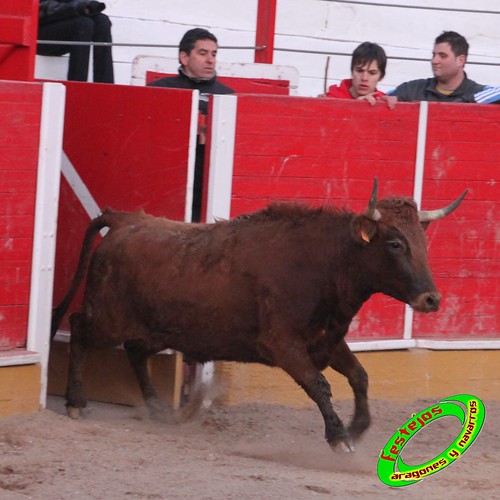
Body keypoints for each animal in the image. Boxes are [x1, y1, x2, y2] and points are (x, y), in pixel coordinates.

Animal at [51, 181, 468, 454]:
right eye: (395, 244)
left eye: (422, 242)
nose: (431, 298)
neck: (323, 264)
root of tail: (125, 221)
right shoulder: (282, 344)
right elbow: (319, 385)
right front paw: (339, 437)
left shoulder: (326, 340)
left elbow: (359, 375)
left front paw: (358, 427)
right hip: (108, 319)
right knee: (80, 330)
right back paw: (76, 402)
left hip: (156, 328)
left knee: (135, 352)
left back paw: (156, 408)